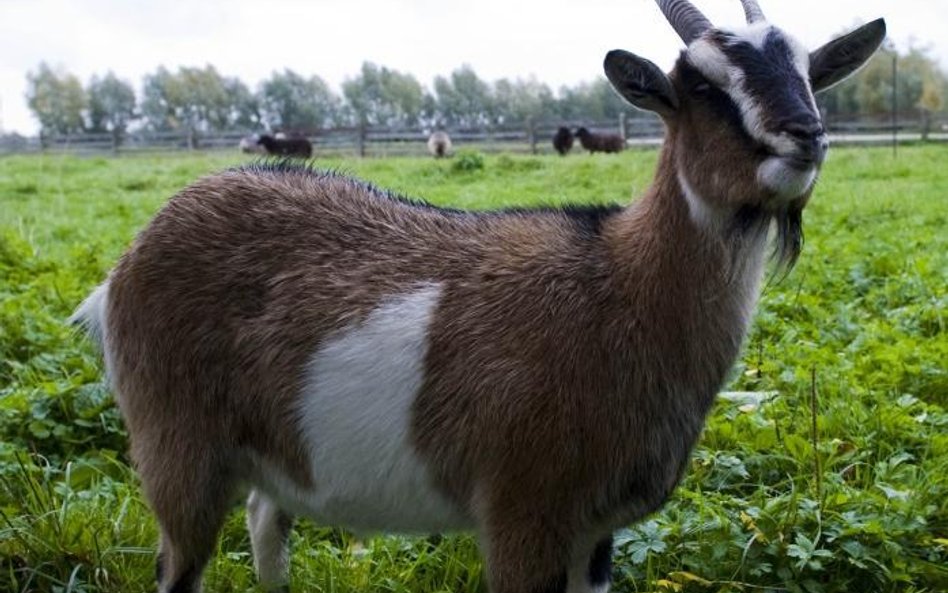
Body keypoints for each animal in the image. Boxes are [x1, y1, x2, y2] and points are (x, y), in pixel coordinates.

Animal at [70, 2, 884, 588]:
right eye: (702, 87)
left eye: (810, 71)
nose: (805, 134)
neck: (617, 285)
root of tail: (126, 265)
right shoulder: (522, 512)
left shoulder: (596, 531)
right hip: (175, 449)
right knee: (179, 563)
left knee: (267, 529)